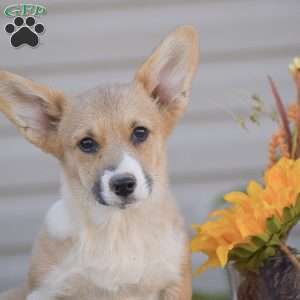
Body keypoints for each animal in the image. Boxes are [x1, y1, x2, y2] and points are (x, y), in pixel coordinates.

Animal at [0, 25, 199, 300]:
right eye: (87, 143)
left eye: (140, 132)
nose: (123, 185)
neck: (119, 229)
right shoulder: (46, 290)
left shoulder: (174, 282)